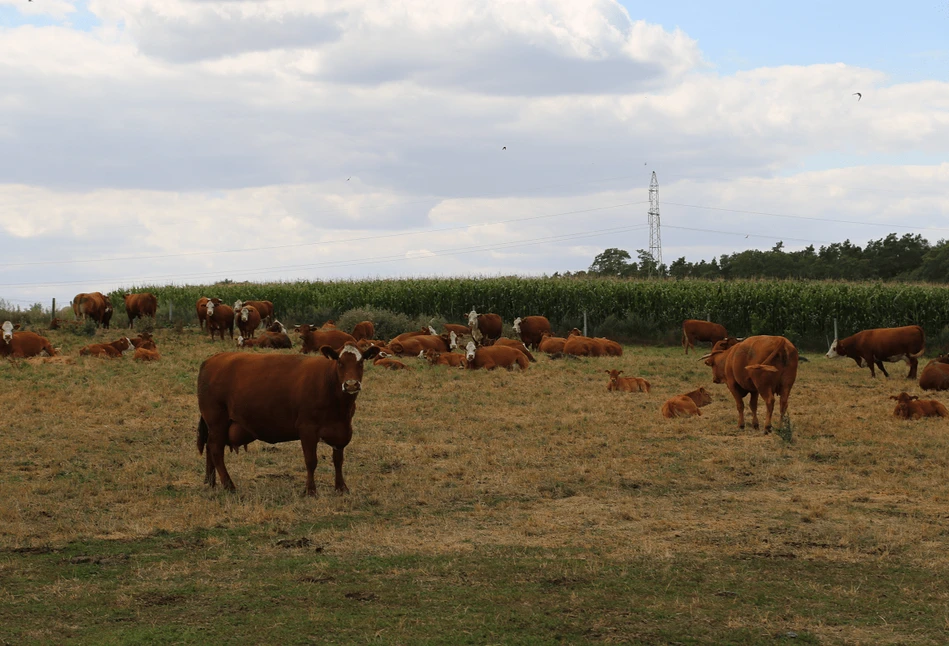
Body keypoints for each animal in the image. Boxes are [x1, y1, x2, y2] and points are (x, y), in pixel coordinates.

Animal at [195, 344, 382, 496]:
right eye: (340, 362)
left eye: (361, 362)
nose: (351, 384)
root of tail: (213, 359)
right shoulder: (307, 429)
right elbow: (311, 461)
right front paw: (310, 490)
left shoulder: (341, 430)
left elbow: (338, 461)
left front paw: (341, 488)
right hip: (217, 420)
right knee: (216, 449)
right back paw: (229, 485)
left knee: (210, 447)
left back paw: (211, 481)